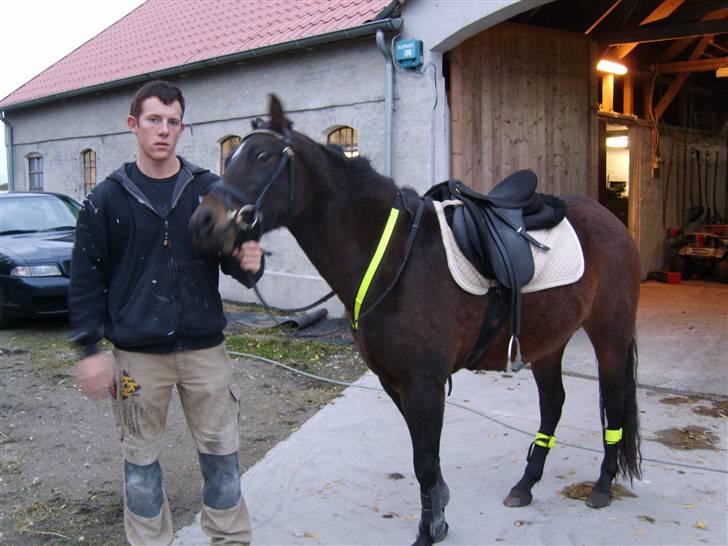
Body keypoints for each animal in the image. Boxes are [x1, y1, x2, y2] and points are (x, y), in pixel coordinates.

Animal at [189, 95, 644, 540]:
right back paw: (525, 485)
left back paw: (602, 486)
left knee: (615, 402)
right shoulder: (395, 383)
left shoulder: (424, 385)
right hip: (547, 343)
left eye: (263, 156)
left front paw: (429, 531)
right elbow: (427, 461)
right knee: (553, 405)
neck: (393, 260)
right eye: (231, 156)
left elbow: (424, 462)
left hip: (610, 336)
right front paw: (439, 514)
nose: (202, 222)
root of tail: (612, 222)